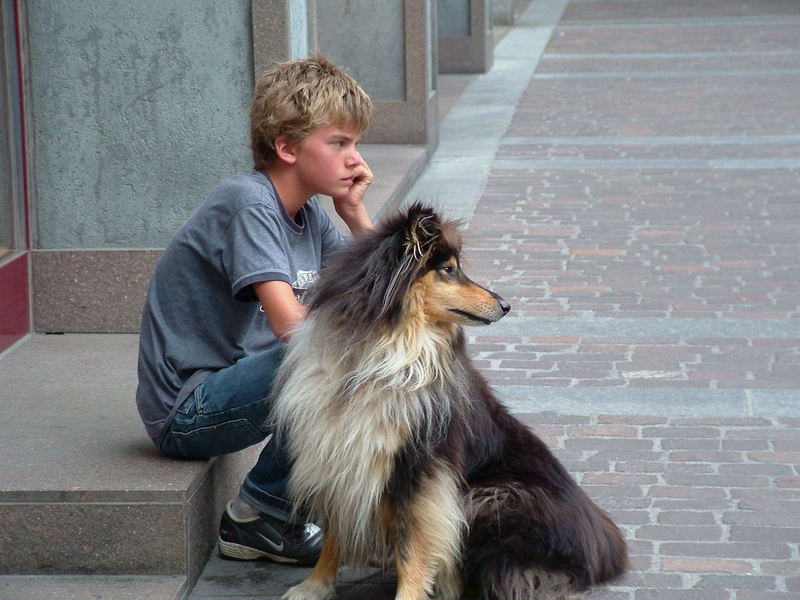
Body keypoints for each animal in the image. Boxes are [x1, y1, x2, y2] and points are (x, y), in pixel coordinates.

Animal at [272, 204, 628, 596]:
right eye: (448, 270)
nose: (506, 305)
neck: (381, 354)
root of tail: (605, 547)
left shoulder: (420, 469)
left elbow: (413, 545)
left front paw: (408, 594)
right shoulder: (338, 453)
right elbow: (336, 531)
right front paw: (314, 586)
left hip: (488, 496)